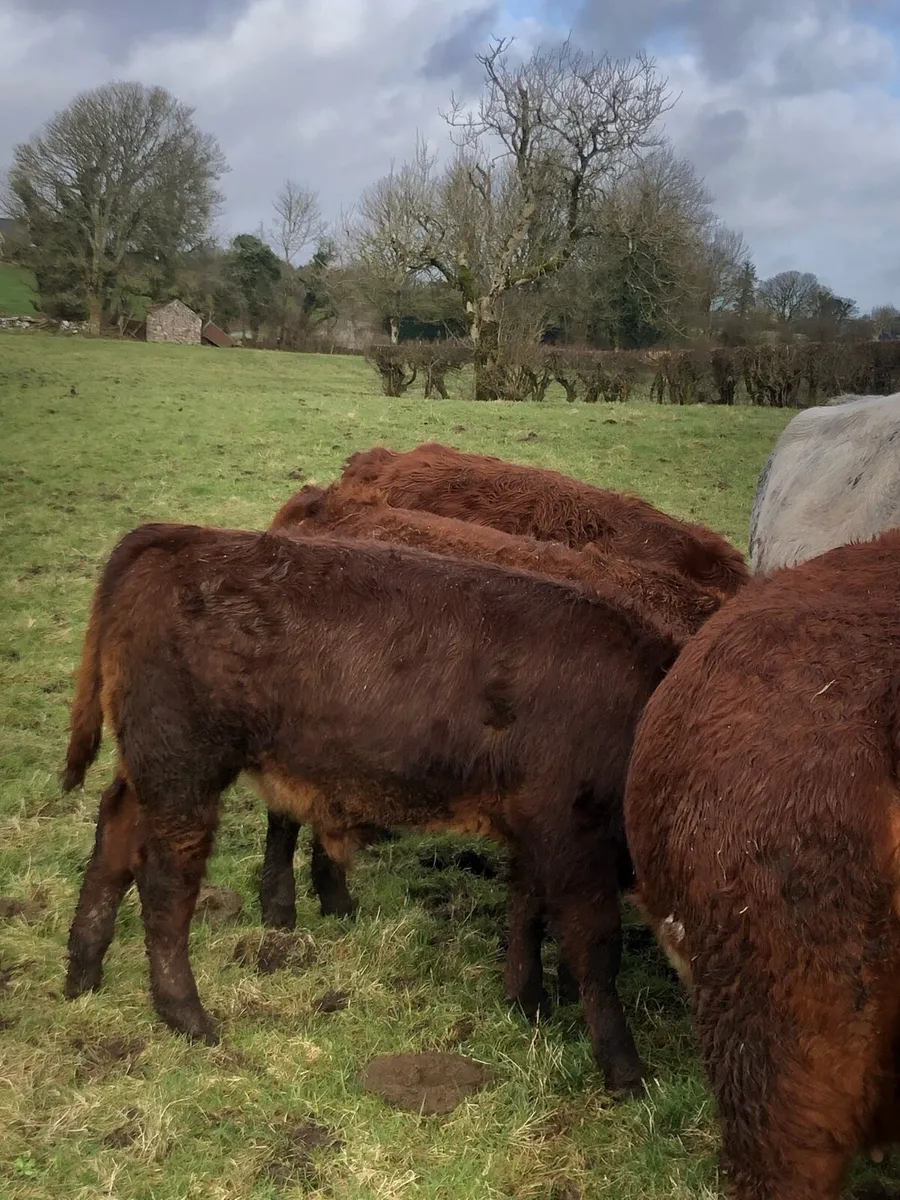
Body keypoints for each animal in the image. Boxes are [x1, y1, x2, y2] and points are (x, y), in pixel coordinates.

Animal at [63, 522, 680, 1097]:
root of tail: (180, 537)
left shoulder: (534, 829)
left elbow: (526, 910)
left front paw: (528, 1004)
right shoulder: (574, 838)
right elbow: (596, 948)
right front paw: (626, 1071)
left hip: (148, 771)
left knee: (113, 840)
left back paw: (83, 974)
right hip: (183, 770)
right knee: (166, 883)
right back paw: (188, 1016)